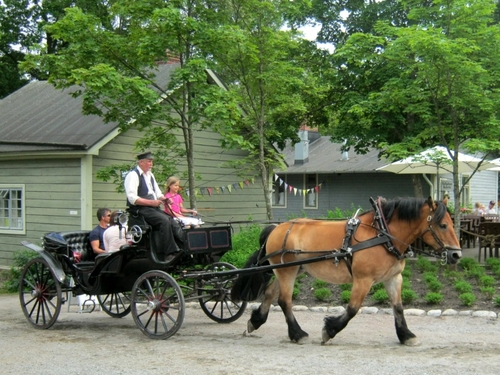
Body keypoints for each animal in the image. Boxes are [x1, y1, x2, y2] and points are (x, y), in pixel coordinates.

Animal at [232, 197, 462, 346]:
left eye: (451, 223)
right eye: (443, 225)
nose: (456, 255)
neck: (383, 235)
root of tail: (277, 228)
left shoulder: (393, 278)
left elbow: (398, 307)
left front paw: (406, 335)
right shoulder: (363, 279)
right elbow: (352, 309)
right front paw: (329, 330)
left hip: (292, 270)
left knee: (270, 293)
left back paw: (256, 321)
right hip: (288, 271)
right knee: (284, 301)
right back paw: (298, 334)